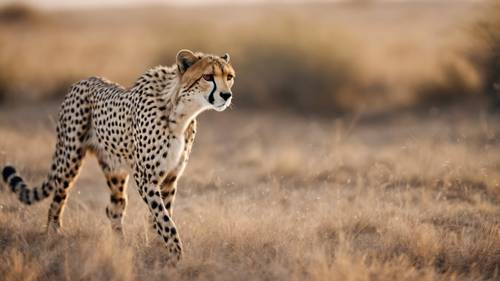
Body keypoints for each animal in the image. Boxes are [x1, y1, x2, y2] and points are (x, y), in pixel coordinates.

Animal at [0, 49, 235, 262]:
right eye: (208, 77)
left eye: (229, 77)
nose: (226, 95)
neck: (180, 111)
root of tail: (84, 80)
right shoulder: (146, 177)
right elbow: (164, 219)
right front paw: (177, 254)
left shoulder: (170, 177)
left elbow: (161, 215)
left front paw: (160, 248)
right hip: (70, 158)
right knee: (58, 196)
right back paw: (54, 233)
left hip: (115, 169)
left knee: (114, 206)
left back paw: (120, 245)